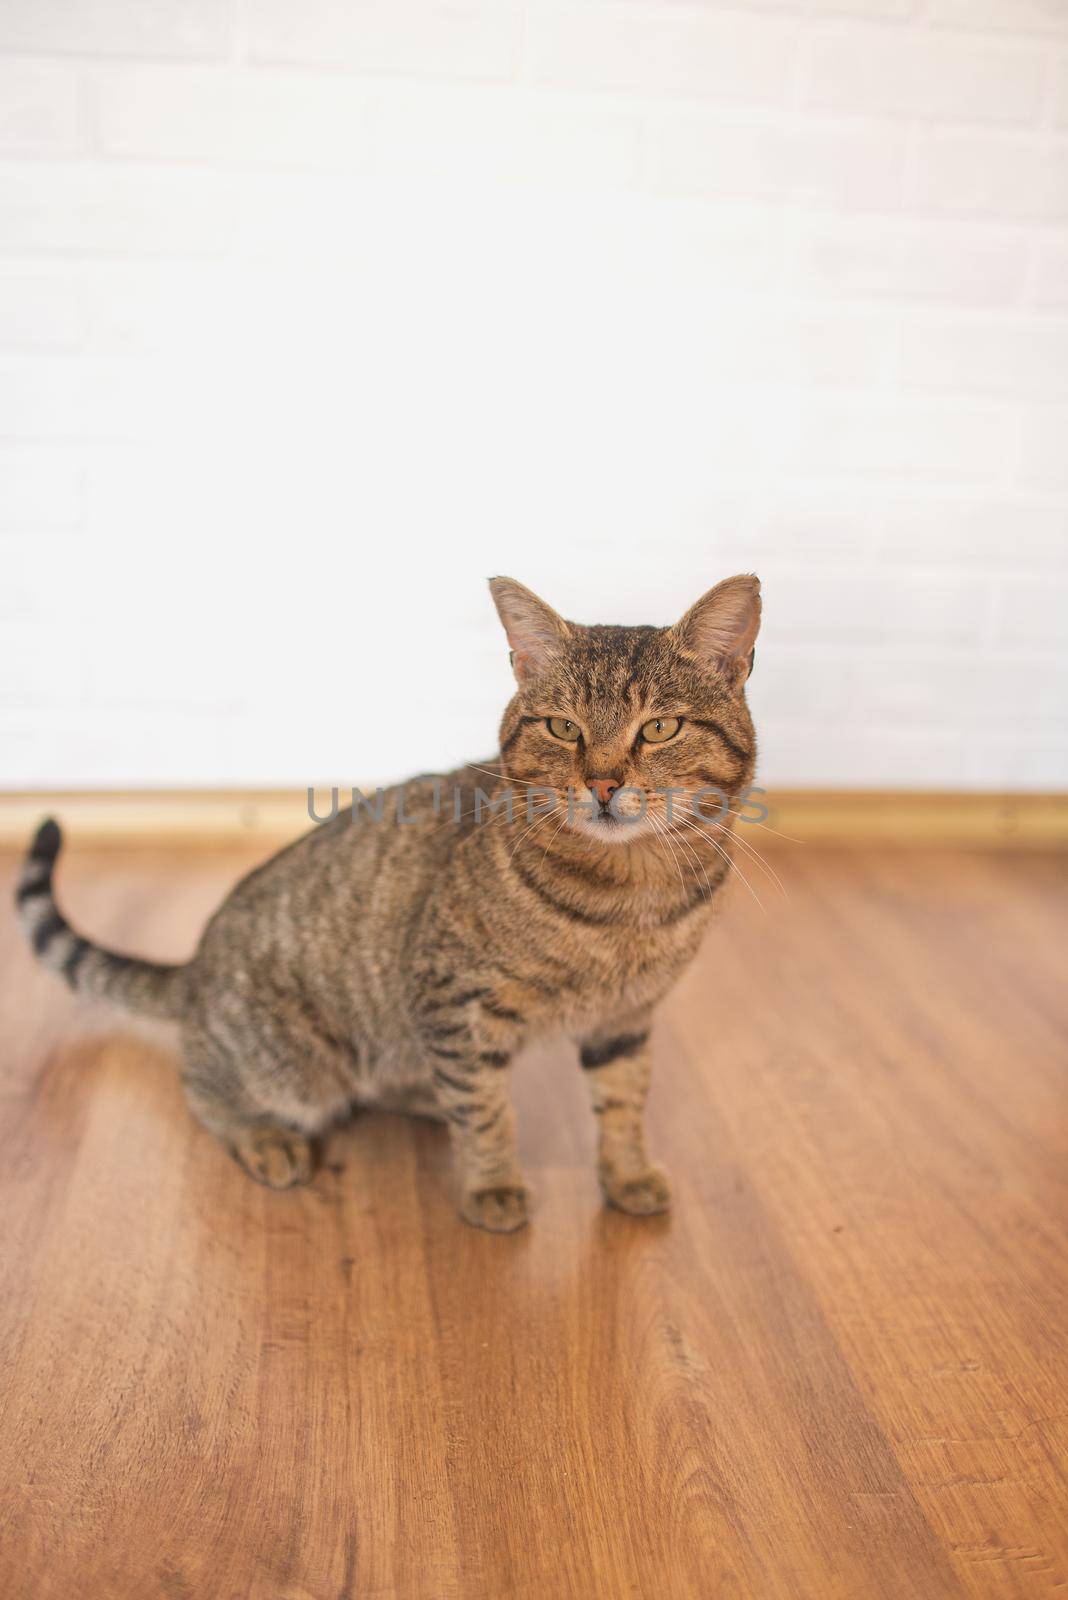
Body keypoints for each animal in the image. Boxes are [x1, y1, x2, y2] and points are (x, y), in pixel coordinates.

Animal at [14, 569, 757, 1228]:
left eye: (659, 729)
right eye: (563, 728)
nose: (602, 783)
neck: (633, 891)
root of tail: (196, 968)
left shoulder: (625, 1020)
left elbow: (624, 1104)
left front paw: (627, 1175)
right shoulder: (454, 1000)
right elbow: (487, 1113)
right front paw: (491, 1185)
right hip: (294, 1067)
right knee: (201, 1084)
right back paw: (265, 1135)